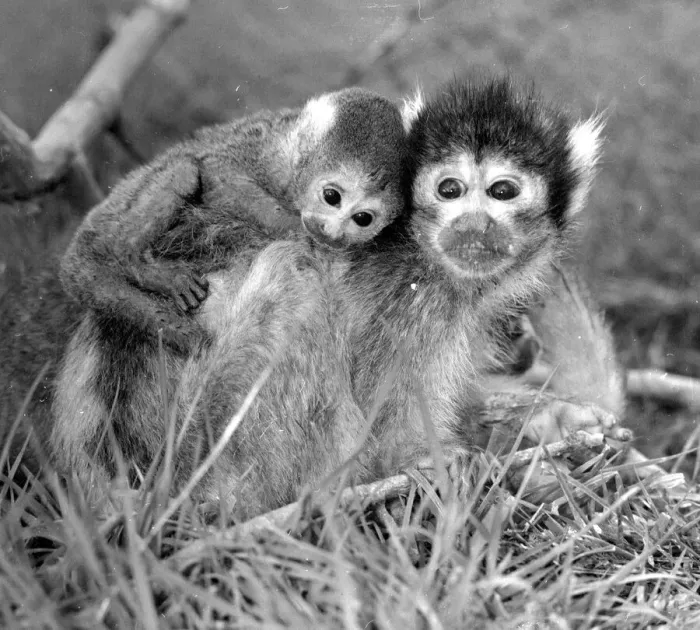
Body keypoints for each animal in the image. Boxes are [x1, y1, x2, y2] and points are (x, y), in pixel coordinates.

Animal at [59, 87, 407, 355]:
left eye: (362, 219)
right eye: (331, 196)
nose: (332, 233)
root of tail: (76, 256)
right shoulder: (268, 155)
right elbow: (218, 172)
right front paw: (295, 230)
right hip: (108, 230)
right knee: (186, 169)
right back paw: (138, 262)